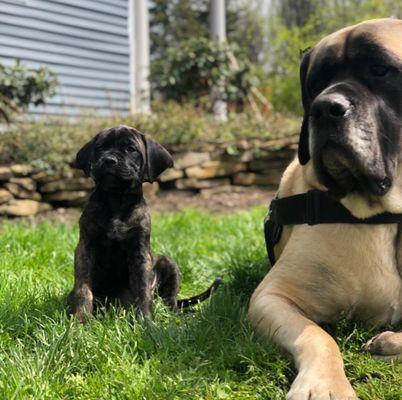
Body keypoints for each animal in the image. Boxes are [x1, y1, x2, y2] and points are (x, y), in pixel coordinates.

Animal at [68, 125, 221, 322]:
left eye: (131, 149)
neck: (116, 200)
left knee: (170, 302)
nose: (109, 160)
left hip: (168, 263)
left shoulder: (139, 252)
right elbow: (83, 289)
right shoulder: (85, 248)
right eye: (100, 147)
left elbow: (142, 290)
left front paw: (146, 322)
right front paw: (81, 320)